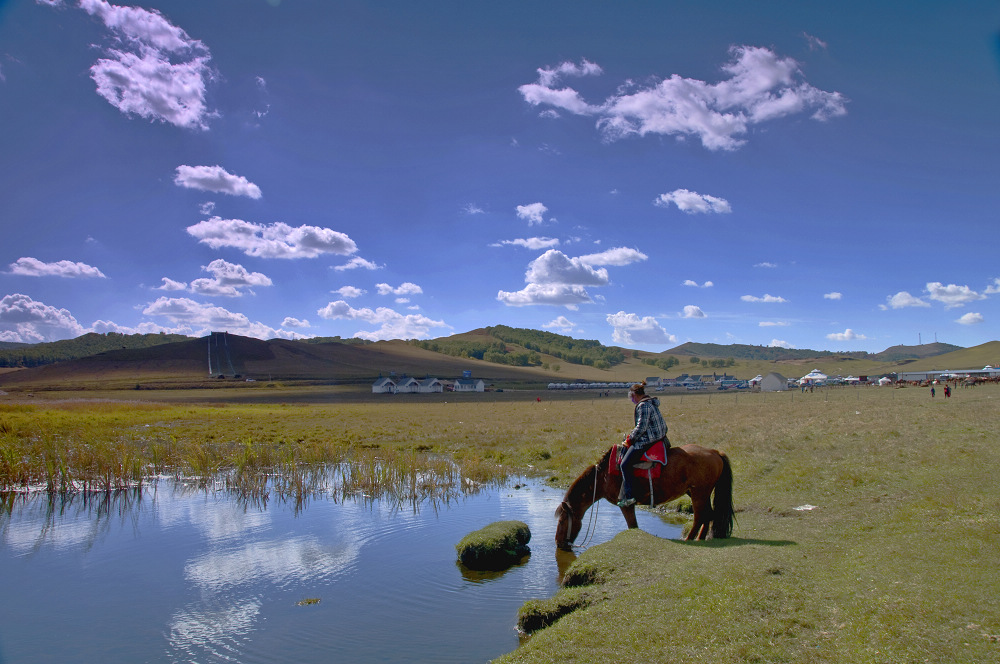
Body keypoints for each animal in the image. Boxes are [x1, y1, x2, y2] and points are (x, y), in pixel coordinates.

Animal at [556, 440, 736, 548]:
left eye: (563, 520)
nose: (558, 543)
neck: (603, 477)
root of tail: (715, 452)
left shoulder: (626, 505)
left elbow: (633, 526)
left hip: (699, 492)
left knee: (699, 517)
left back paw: (689, 539)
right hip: (698, 492)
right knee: (709, 514)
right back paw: (700, 538)